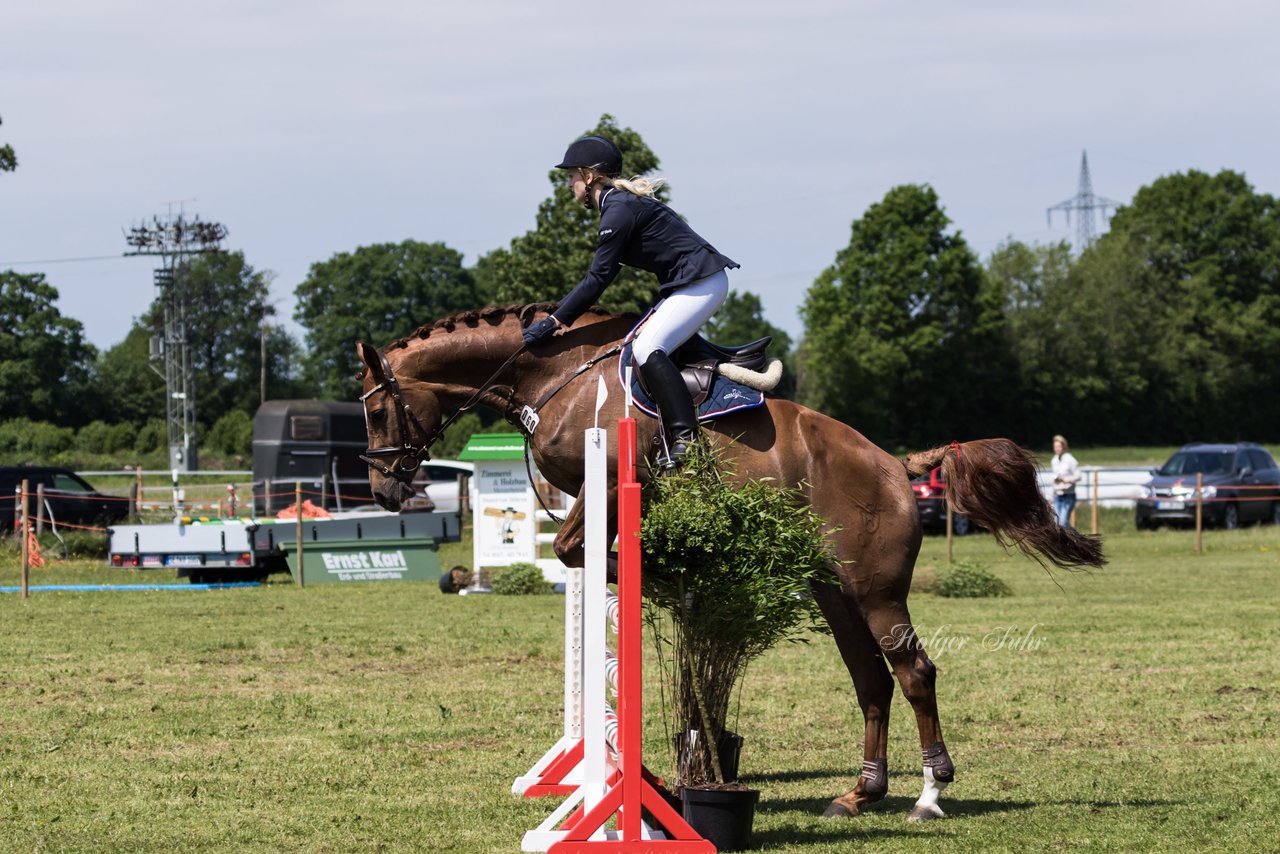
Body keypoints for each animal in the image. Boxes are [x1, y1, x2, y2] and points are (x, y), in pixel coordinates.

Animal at [355, 303, 1105, 824]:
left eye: (376, 412)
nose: (386, 491)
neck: (553, 375)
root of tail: (897, 465)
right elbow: (585, 556)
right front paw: (675, 575)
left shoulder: (608, 484)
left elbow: (574, 550)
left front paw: (670, 573)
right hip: (833, 590)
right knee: (871, 680)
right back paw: (859, 793)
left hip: (875, 588)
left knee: (913, 671)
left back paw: (928, 795)